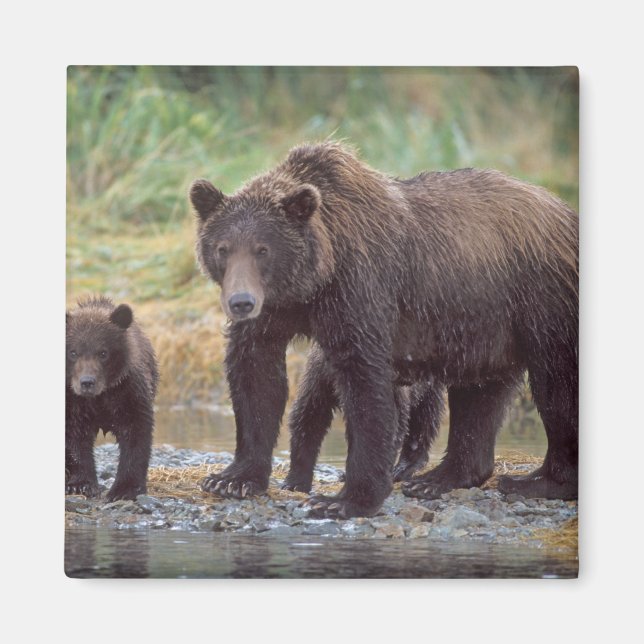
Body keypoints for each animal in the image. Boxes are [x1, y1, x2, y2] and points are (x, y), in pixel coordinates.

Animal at [65, 296, 159, 501]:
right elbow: (74, 437)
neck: (101, 396)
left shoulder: (127, 393)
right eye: (73, 352)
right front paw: (80, 484)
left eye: (103, 352)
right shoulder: (74, 400)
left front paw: (125, 489)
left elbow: (136, 433)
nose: (87, 382)